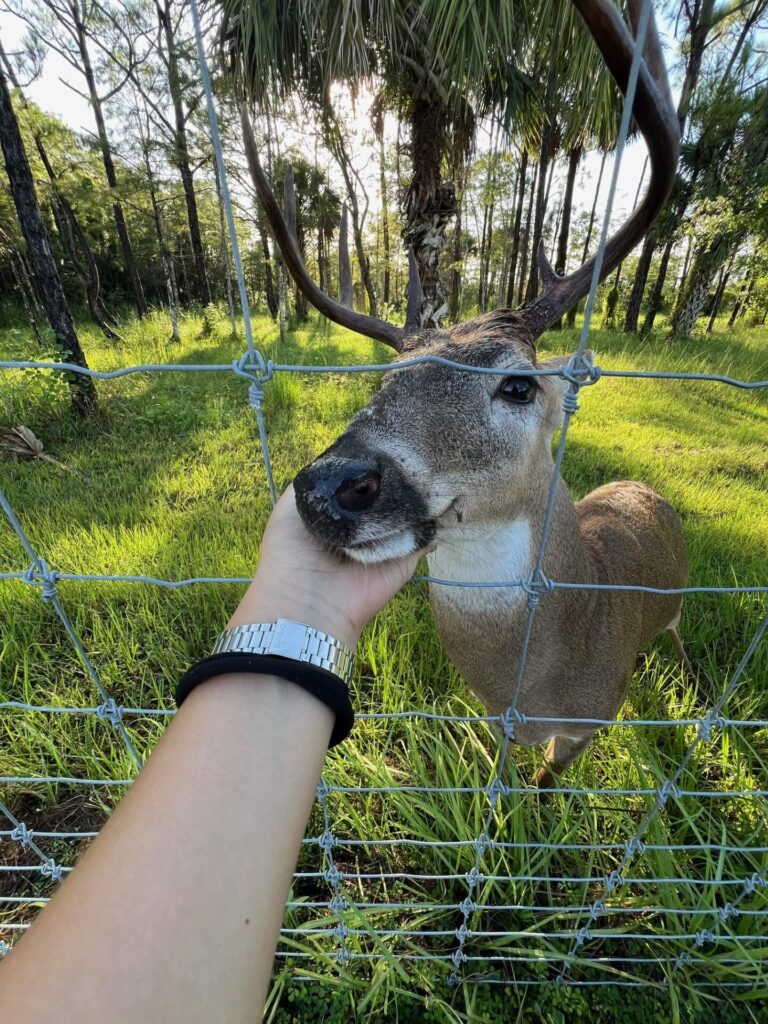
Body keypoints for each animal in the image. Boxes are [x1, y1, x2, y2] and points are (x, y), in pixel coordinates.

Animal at [240, 0, 692, 787]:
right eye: (385, 381)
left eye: (517, 384)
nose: (332, 485)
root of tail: (645, 487)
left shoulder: (589, 724)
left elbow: (544, 788)